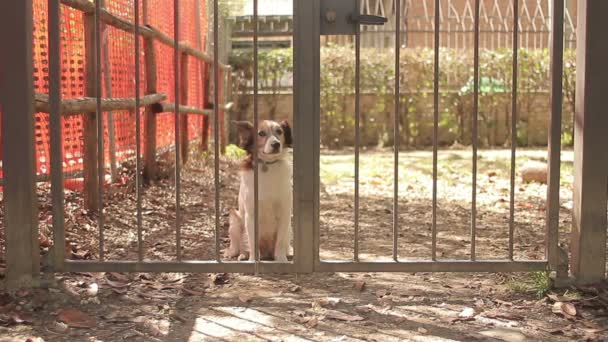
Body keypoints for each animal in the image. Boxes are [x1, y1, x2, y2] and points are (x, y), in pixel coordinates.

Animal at [224, 119, 294, 260]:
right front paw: (253, 260)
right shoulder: (251, 215)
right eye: (261, 133)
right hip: (235, 218)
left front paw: (281, 259)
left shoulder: (285, 213)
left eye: (279, 131)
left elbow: (280, 242)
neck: (267, 165)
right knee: (238, 247)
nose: (276, 144)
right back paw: (240, 255)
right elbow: (252, 242)